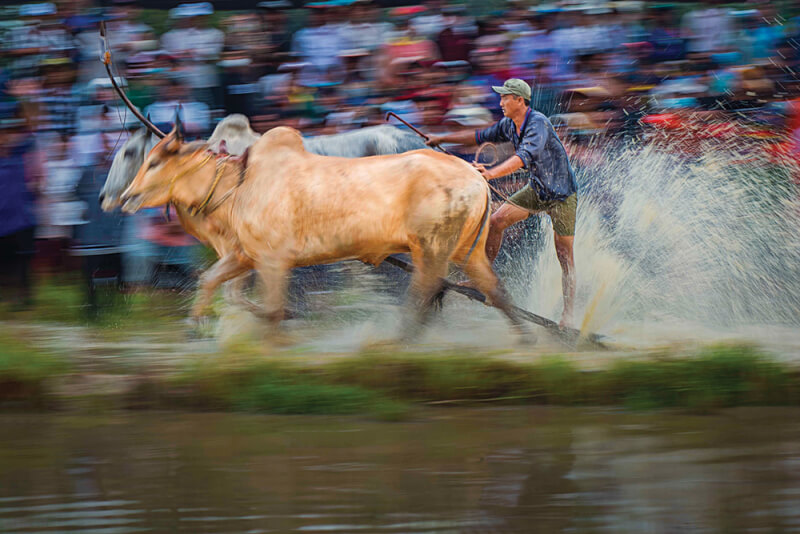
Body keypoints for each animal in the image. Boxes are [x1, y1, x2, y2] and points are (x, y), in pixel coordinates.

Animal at [119, 123, 532, 341]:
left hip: (431, 251)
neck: (237, 187)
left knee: (423, 297)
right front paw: (196, 324)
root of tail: (475, 177)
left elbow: (272, 312)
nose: (125, 197)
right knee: (496, 293)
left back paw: (394, 343)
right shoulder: (245, 256)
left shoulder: (271, 261)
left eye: (153, 161)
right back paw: (529, 343)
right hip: (466, 251)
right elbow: (209, 281)